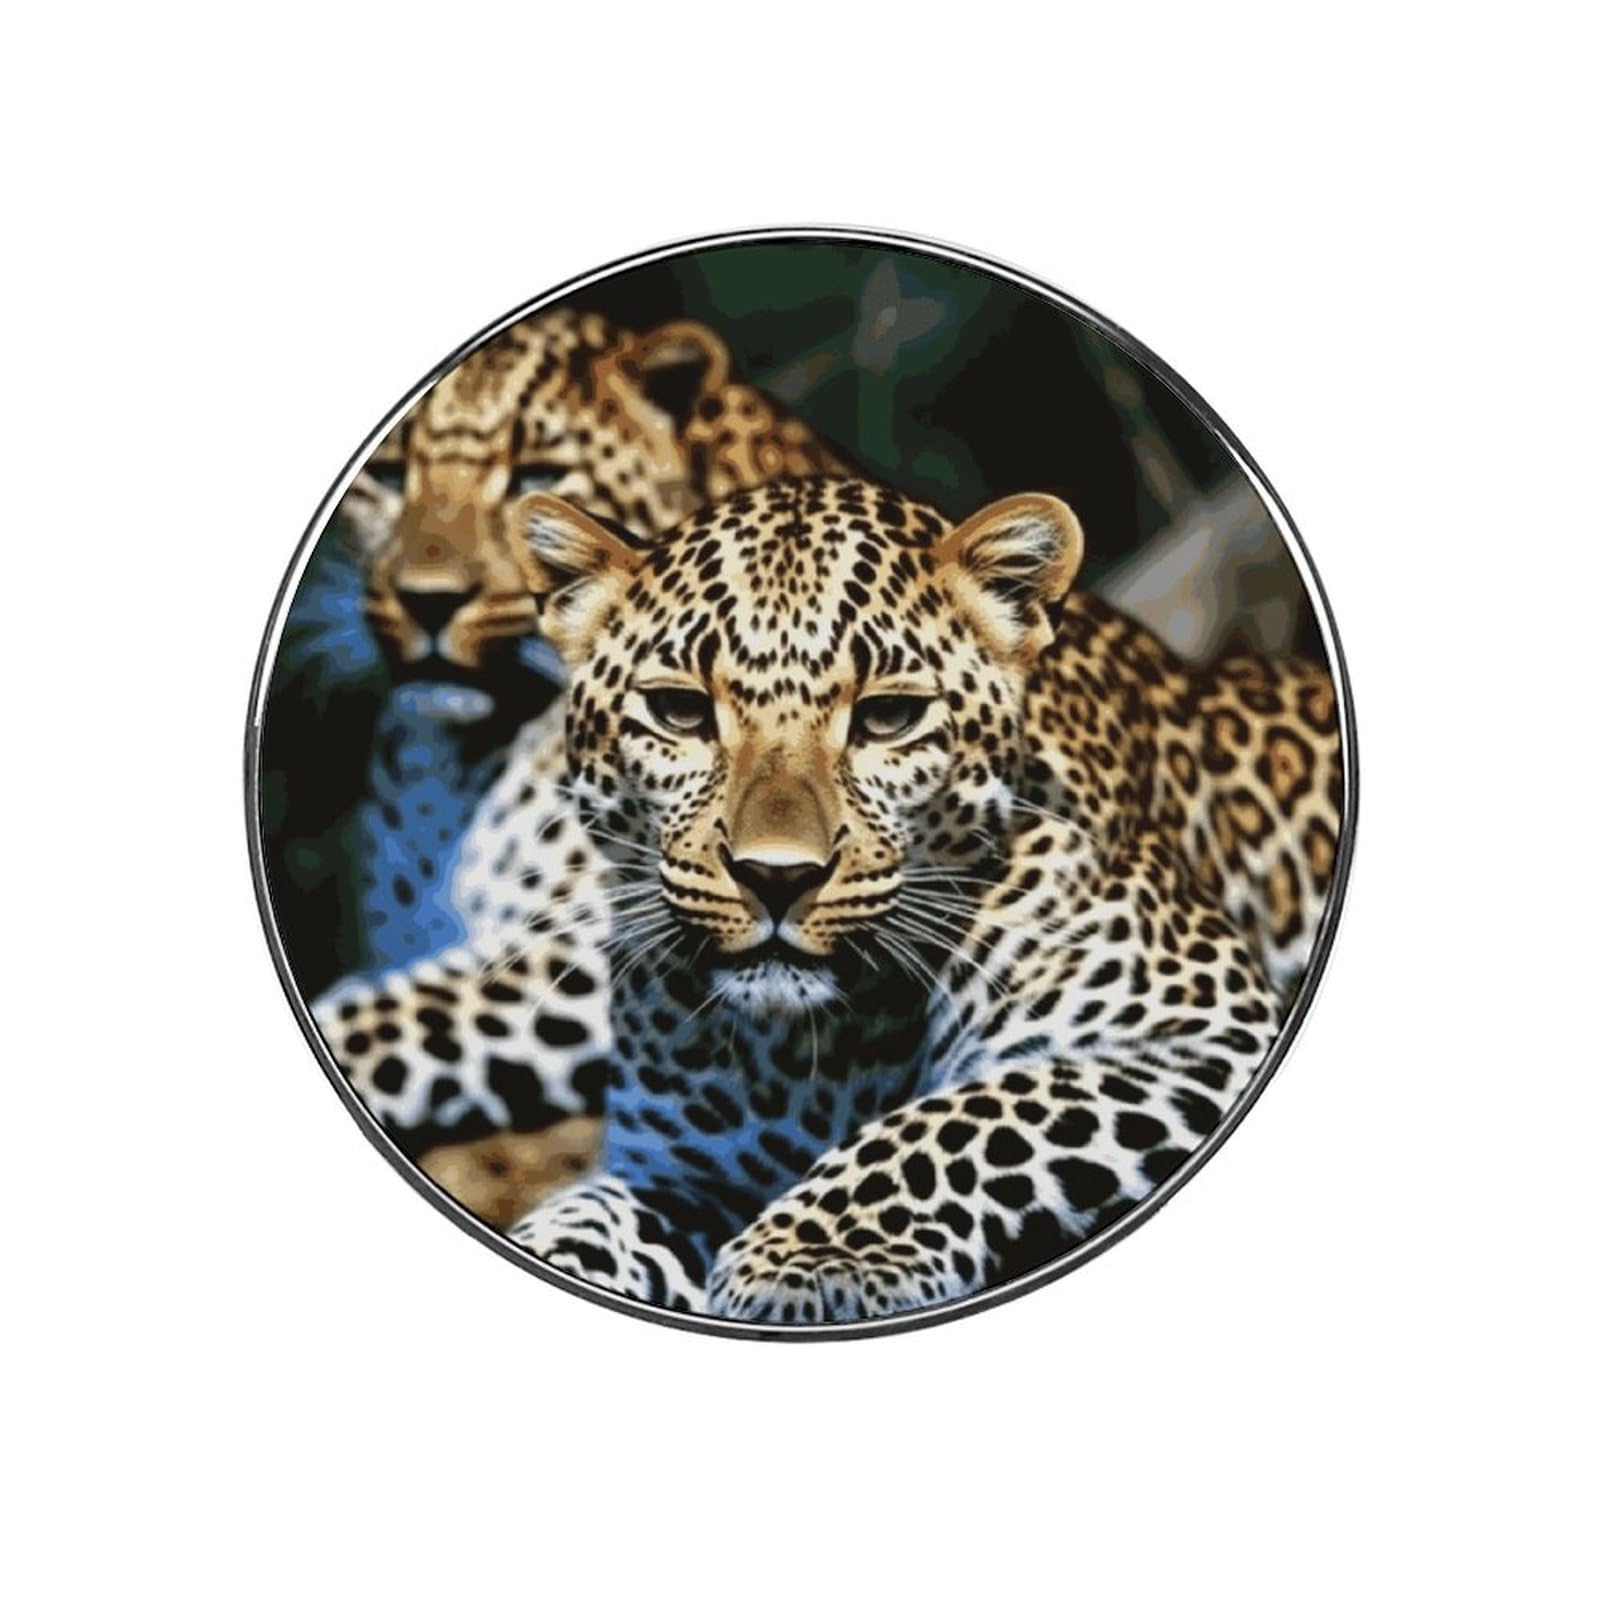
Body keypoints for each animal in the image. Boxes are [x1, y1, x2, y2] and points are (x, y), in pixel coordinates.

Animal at [317, 475, 1344, 1324]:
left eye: (889, 718)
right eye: (679, 711)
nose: (777, 875)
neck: (818, 1049)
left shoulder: (1208, 1030)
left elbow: (971, 1111)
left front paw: (806, 1258)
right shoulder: (680, 1170)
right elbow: (586, 1217)